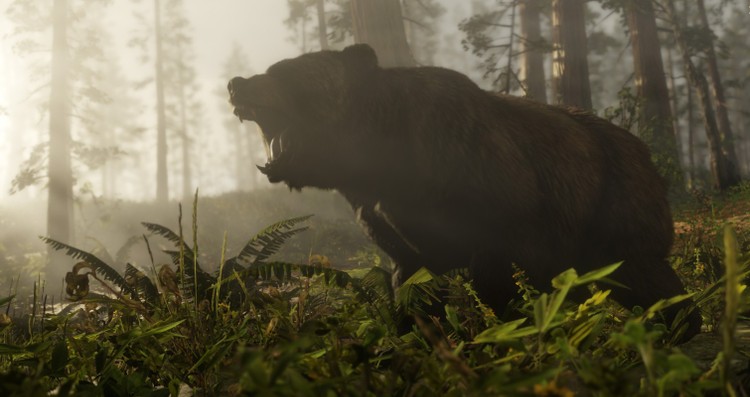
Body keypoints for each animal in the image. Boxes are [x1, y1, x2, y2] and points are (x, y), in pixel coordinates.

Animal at [226, 44, 704, 340]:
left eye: (284, 71)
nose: (235, 82)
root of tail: (646, 152)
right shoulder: (391, 219)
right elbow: (412, 282)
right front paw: (413, 335)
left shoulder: (498, 208)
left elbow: (497, 279)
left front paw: (504, 331)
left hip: (614, 203)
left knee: (643, 271)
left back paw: (679, 324)